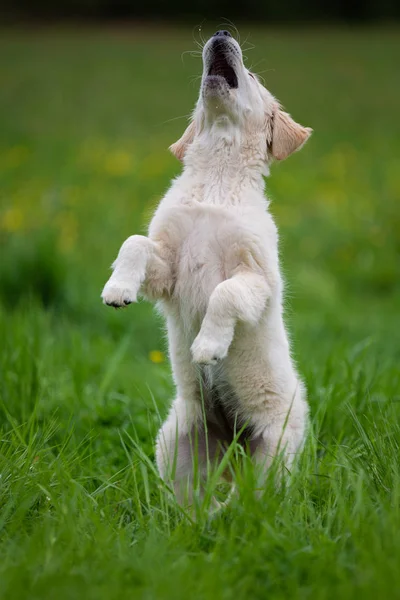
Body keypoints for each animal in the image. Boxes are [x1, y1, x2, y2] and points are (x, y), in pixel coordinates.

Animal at [101, 29, 312, 506]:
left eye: (252, 76)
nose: (221, 32)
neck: (218, 177)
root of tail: (232, 445)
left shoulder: (256, 279)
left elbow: (223, 293)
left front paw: (207, 346)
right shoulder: (167, 267)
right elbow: (134, 243)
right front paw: (117, 289)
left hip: (274, 450)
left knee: (260, 499)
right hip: (176, 437)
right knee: (182, 499)